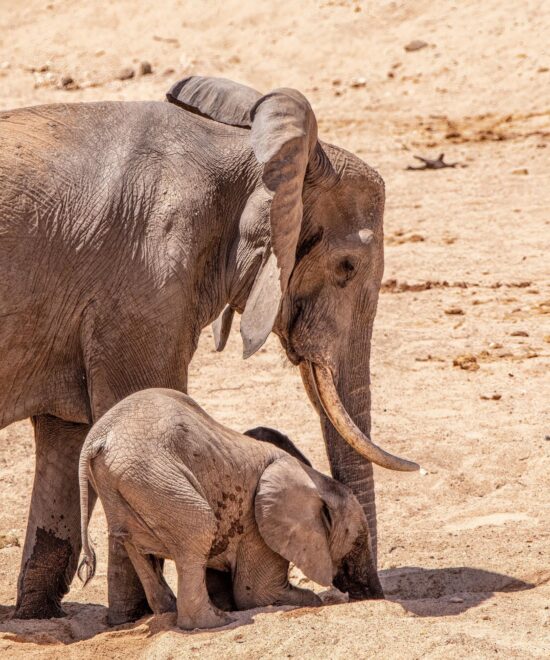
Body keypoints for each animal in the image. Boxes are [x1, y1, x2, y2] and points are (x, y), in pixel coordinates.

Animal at [78, 386, 366, 628]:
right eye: (357, 542)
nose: (357, 596)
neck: (313, 477)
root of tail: (98, 439)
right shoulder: (257, 524)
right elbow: (257, 596)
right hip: (150, 474)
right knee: (199, 526)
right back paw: (215, 621)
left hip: (123, 484)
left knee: (133, 543)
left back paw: (171, 611)